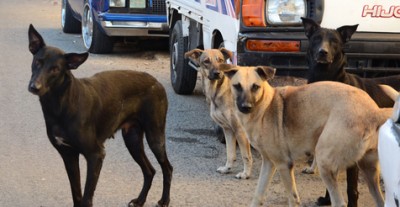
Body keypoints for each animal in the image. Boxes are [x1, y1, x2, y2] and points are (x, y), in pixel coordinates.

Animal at [27, 25, 172, 207]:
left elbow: (86, 198)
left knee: (167, 168)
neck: (61, 104)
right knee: (150, 171)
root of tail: (155, 81)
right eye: (37, 62)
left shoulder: (95, 155)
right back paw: (140, 200)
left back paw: (164, 200)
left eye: (55, 69)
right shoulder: (68, 156)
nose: (34, 87)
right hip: (132, 139)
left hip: (155, 137)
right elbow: (77, 195)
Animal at [184, 49, 253, 180]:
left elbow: (246, 156)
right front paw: (227, 168)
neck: (217, 89)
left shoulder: (240, 131)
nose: (217, 73)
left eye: (220, 60)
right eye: (206, 61)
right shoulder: (228, 130)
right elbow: (230, 153)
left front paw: (246, 174)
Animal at [220, 63, 392, 207]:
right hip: (368, 171)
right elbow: (258, 195)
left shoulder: (284, 164)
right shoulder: (269, 163)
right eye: (237, 86)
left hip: (324, 162)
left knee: (339, 202)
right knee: (379, 200)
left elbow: (292, 198)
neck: (265, 106)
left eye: (255, 87)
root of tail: (374, 111)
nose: (246, 107)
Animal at [304, 17, 400, 207]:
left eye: (334, 41)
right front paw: (326, 199)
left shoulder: (352, 159)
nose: (322, 52)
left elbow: (351, 188)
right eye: (316, 38)